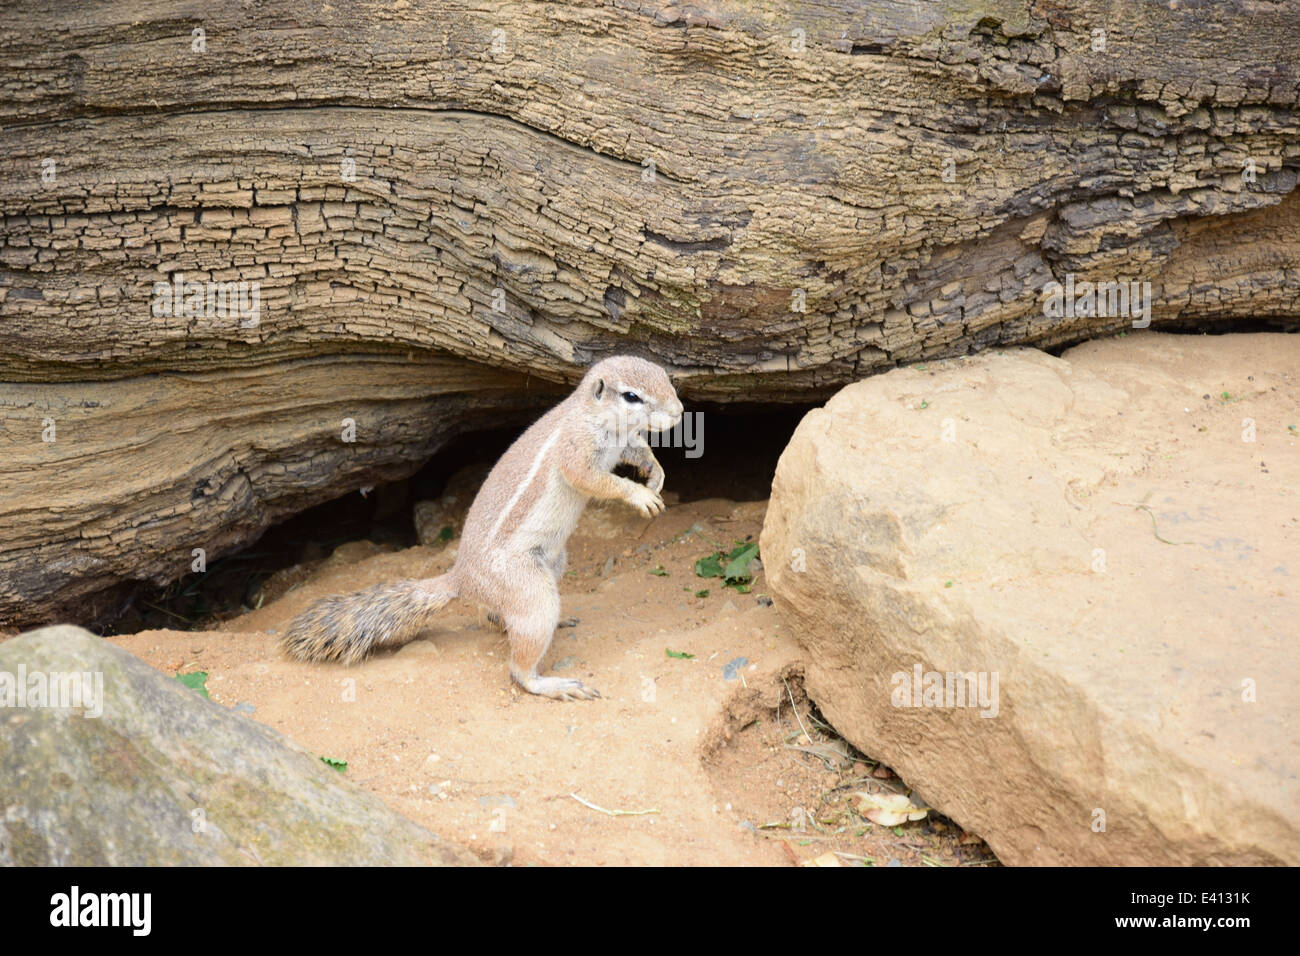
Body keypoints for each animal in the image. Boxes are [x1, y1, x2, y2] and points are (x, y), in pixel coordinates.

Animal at [280, 356, 686, 697]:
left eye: (666, 376)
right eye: (632, 396)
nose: (680, 413)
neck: (594, 416)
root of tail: (460, 577)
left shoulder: (623, 444)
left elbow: (638, 450)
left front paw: (655, 472)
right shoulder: (575, 451)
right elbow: (592, 479)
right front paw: (639, 494)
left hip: (554, 562)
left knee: (500, 616)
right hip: (529, 588)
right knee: (518, 667)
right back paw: (549, 683)